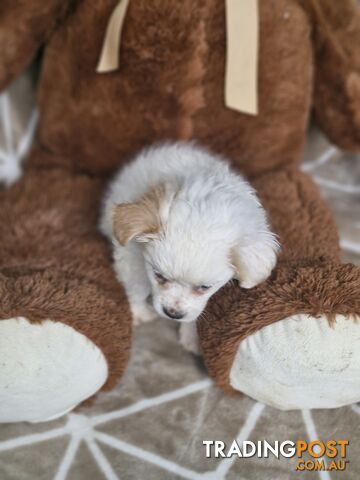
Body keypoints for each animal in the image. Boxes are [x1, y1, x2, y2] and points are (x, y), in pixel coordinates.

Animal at [100, 142, 280, 352]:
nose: (173, 313)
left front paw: (191, 337)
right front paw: (140, 313)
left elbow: (194, 312)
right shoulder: (132, 255)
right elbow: (137, 285)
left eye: (204, 287)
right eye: (159, 276)